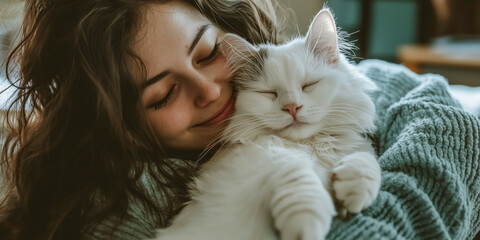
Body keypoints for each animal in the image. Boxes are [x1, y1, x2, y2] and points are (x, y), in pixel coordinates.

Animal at [153, 7, 378, 240]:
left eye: (309, 85)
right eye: (269, 93)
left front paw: (353, 192)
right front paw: (306, 227)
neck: (307, 144)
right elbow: (292, 166)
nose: (292, 107)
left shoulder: (356, 145)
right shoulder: (255, 158)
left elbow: (366, 158)